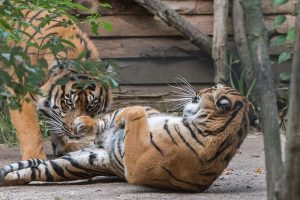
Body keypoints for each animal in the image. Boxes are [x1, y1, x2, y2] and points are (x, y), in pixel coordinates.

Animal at [0, 84, 253, 192]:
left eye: (209, 91)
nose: (196, 93)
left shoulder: (139, 163)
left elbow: (136, 117)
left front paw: (128, 116)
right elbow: (136, 113)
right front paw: (124, 115)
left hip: (71, 165)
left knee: (34, 171)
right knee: (101, 124)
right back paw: (86, 122)